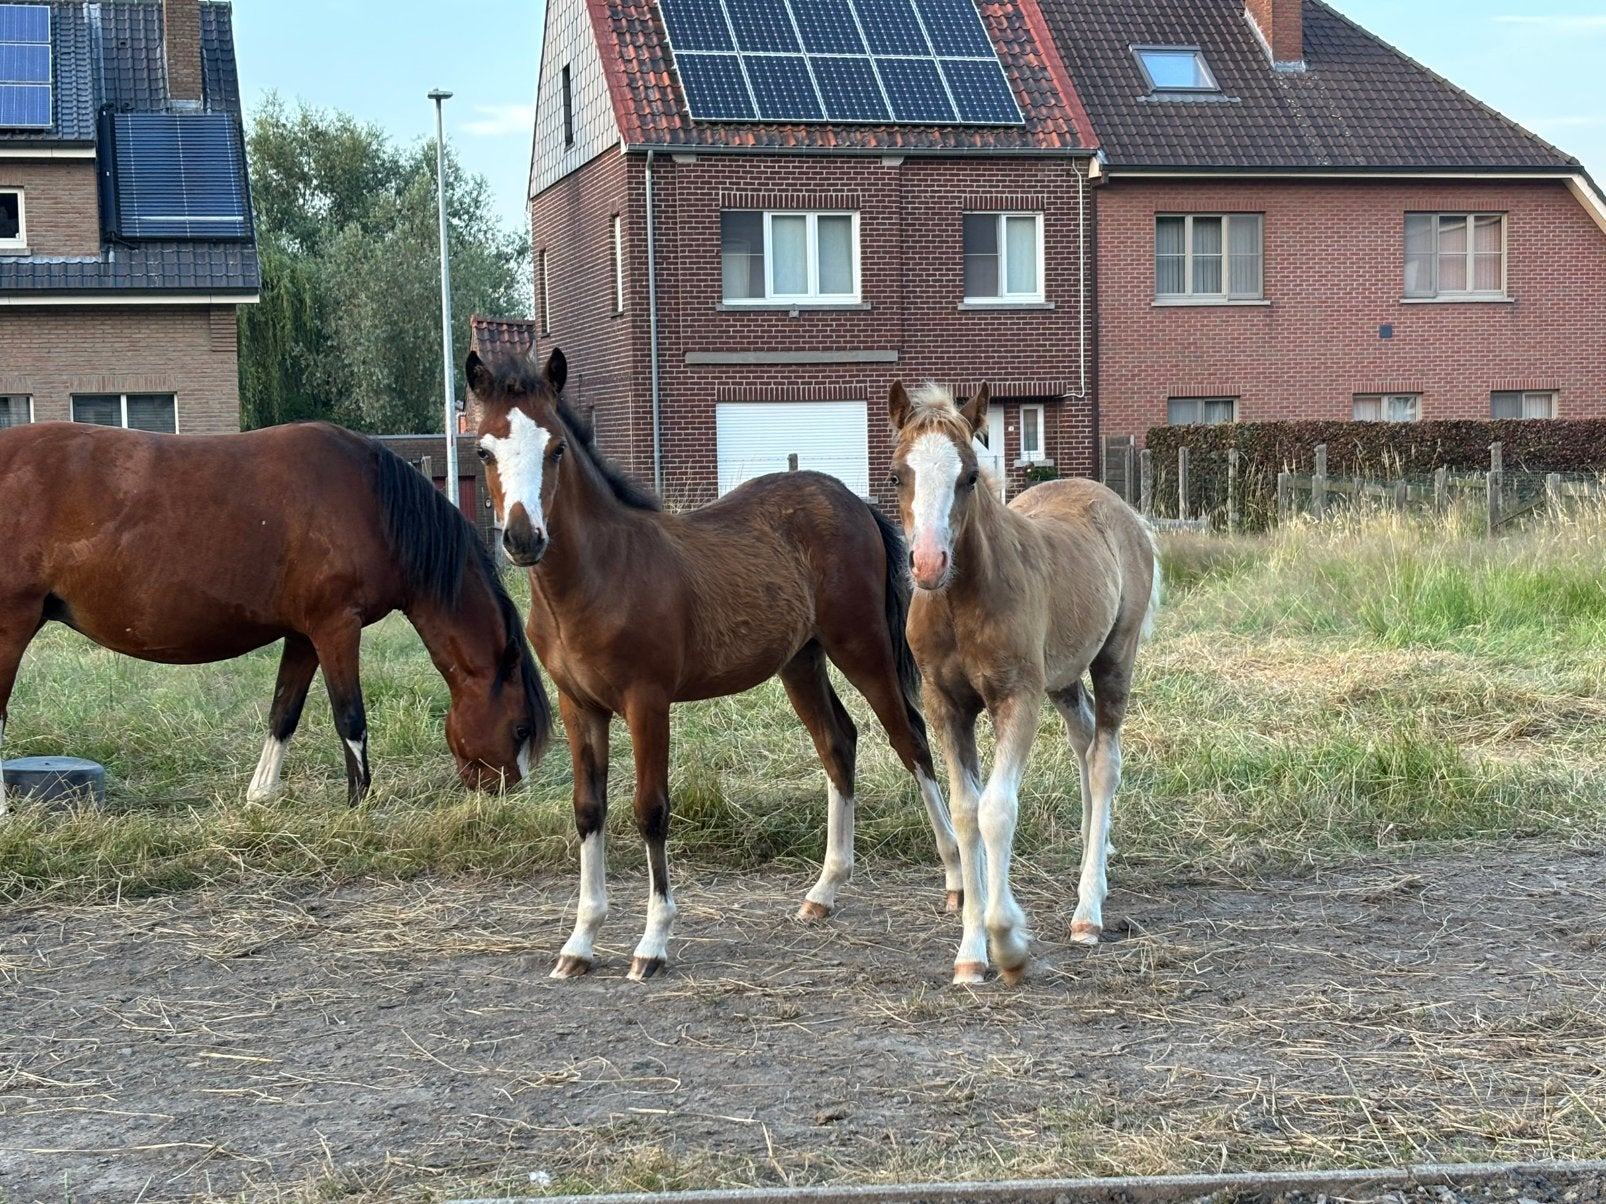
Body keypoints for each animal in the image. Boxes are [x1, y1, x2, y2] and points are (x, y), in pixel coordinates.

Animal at [0, 421, 551, 809]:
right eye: (521, 729)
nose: (504, 794)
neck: (372, 502)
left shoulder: (304, 635)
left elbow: (283, 711)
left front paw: (262, 795)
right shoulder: (336, 627)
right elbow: (350, 716)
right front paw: (359, 802)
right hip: (11, 625)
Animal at [467, 347, 963, 981]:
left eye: (555, 448)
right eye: (484, 450)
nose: (523, 538)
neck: (598, 575)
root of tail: (852, 499)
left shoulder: (647, 701)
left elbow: (650, 809)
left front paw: (652, 943)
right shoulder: (579, 705)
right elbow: (587, 810)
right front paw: (579, 943)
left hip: (862, 647)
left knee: (912, 739)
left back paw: (955, 881)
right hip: (801, 661)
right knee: (838, 742)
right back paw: (823, 891)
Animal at [887, 381, 1160, 985]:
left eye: (969, 475)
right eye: (896, 474)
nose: (928, 563)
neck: (962, 605)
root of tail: (1120, 508)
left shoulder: (1017, 698)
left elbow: (996, 810)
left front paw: (1008, 942)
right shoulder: (945, 706)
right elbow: (965, 813)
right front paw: (970, 954)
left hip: (1113, 659)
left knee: (1105, 762)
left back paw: (1088, 912)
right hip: (1063, 678)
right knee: (1085, 744)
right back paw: (1095, 860)